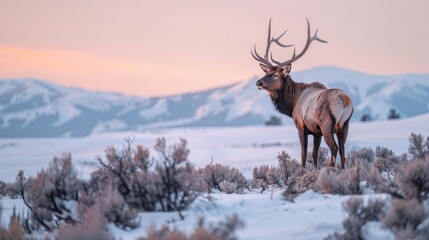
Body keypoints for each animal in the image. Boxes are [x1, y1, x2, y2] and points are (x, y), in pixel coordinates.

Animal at [249, 19, 352, 169]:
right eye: (266, 72)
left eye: (275, 75)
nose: (258, 82)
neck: (292, 102)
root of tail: (345, 101)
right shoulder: (316, 132)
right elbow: (314, 154)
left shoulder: (301, 126)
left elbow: (304, 154)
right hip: (344, 125)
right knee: (343, 149)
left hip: (327, 124)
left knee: (334, 148)